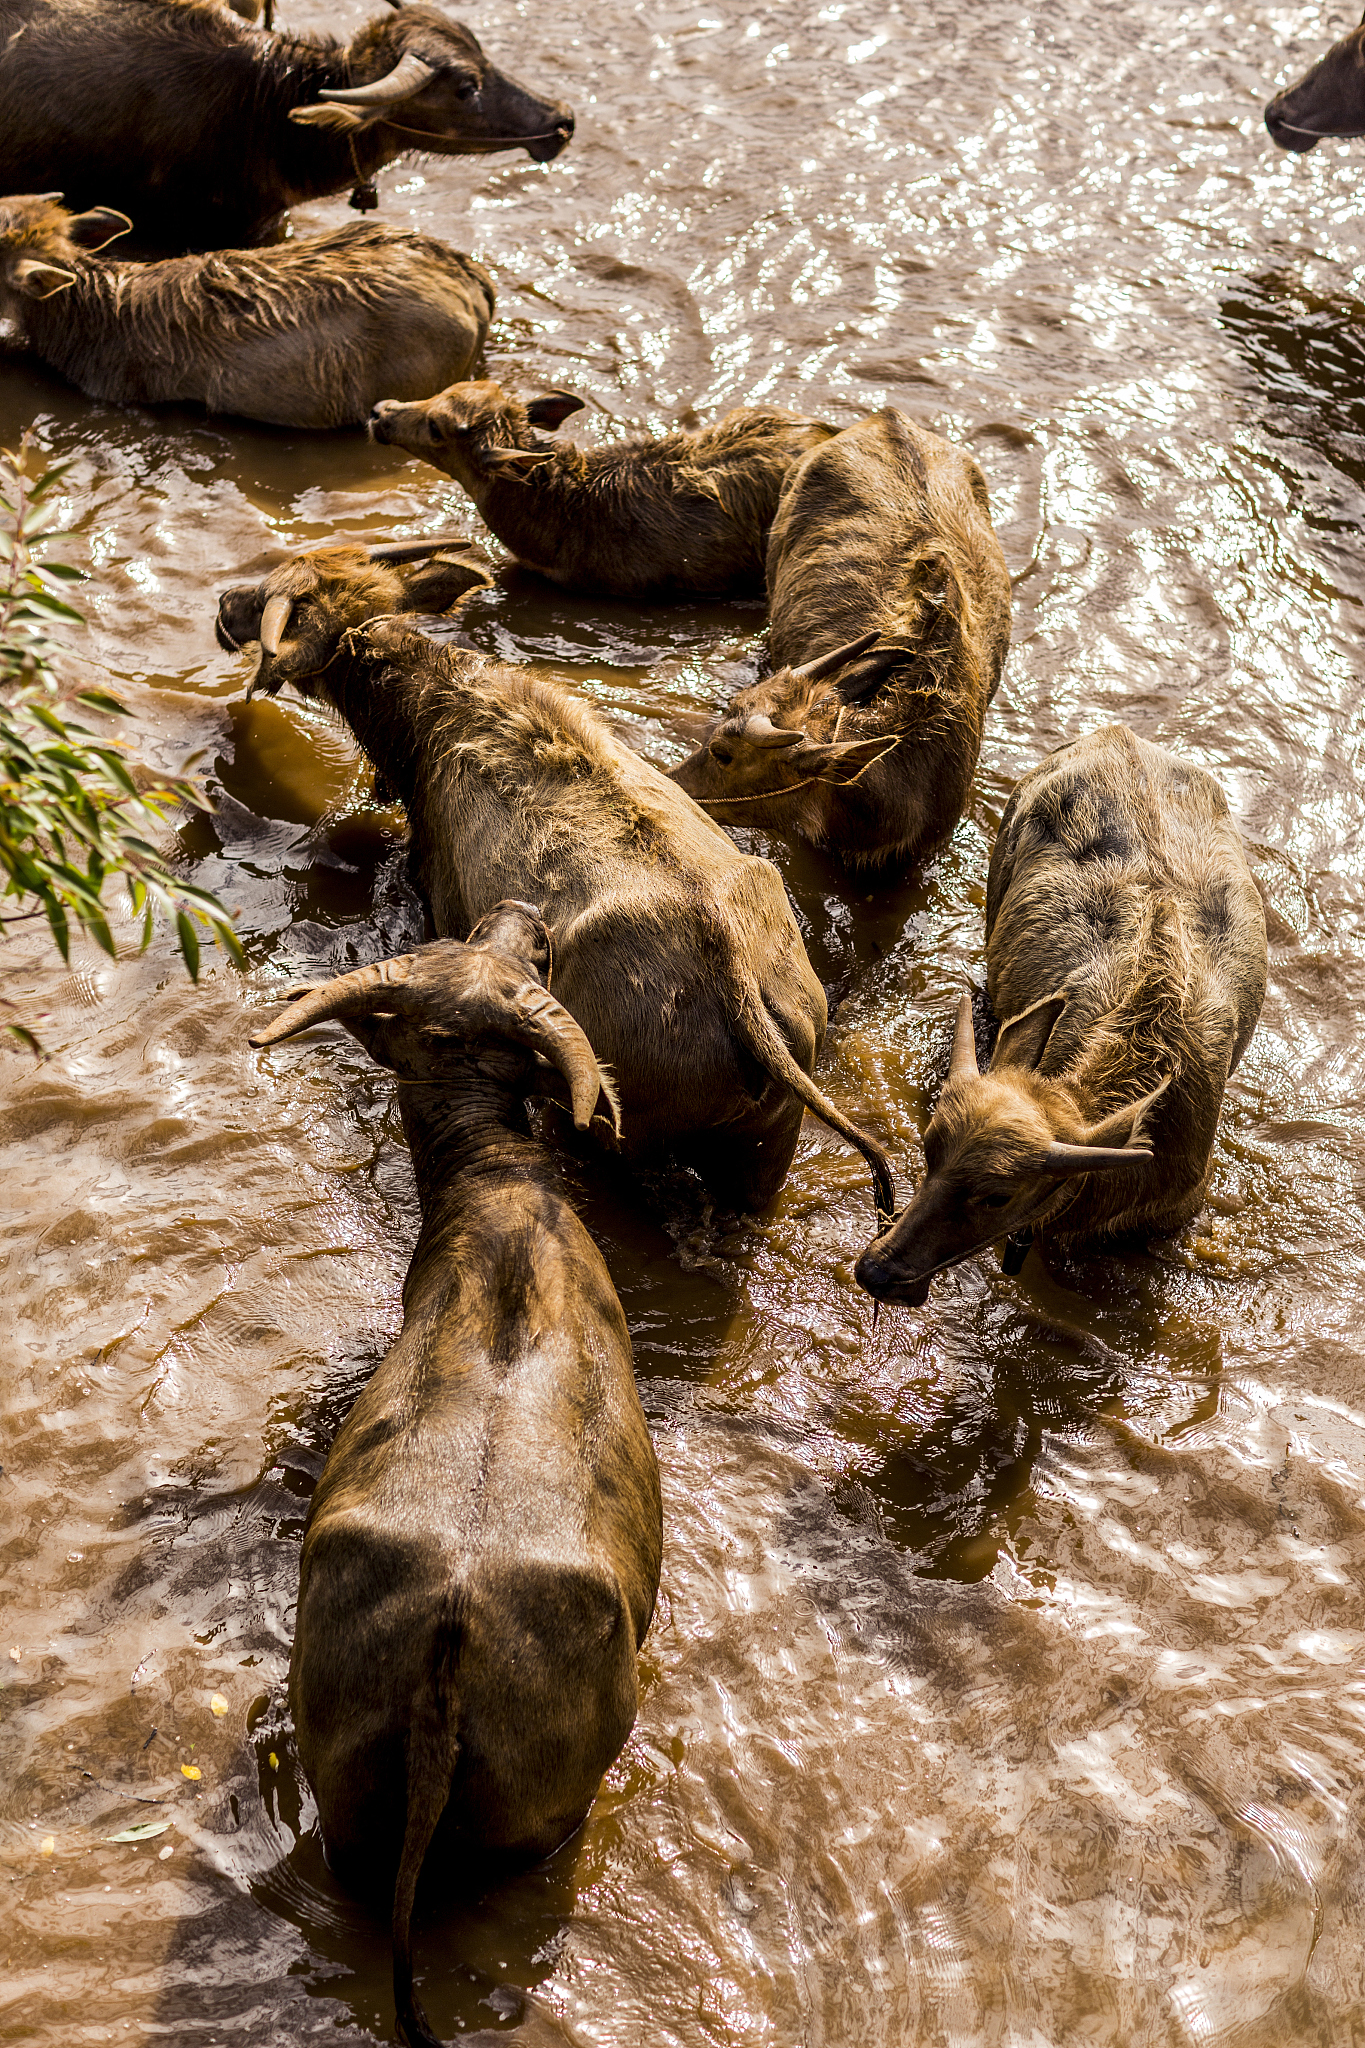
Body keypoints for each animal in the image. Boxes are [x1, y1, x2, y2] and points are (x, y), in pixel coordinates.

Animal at [216, 547, 896, 1216]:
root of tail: (746, 1001)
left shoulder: (436, 896)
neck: (410, 731)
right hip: (767, 1145)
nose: (225, 601)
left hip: (615, 1134)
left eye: (272, 591)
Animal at [251, 905, 662, 2048]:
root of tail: (447, 1642)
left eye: (495, 952)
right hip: (548, 1812)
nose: (525, 913)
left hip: (348, 1789)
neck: (499, 1199)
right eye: (524, 958)